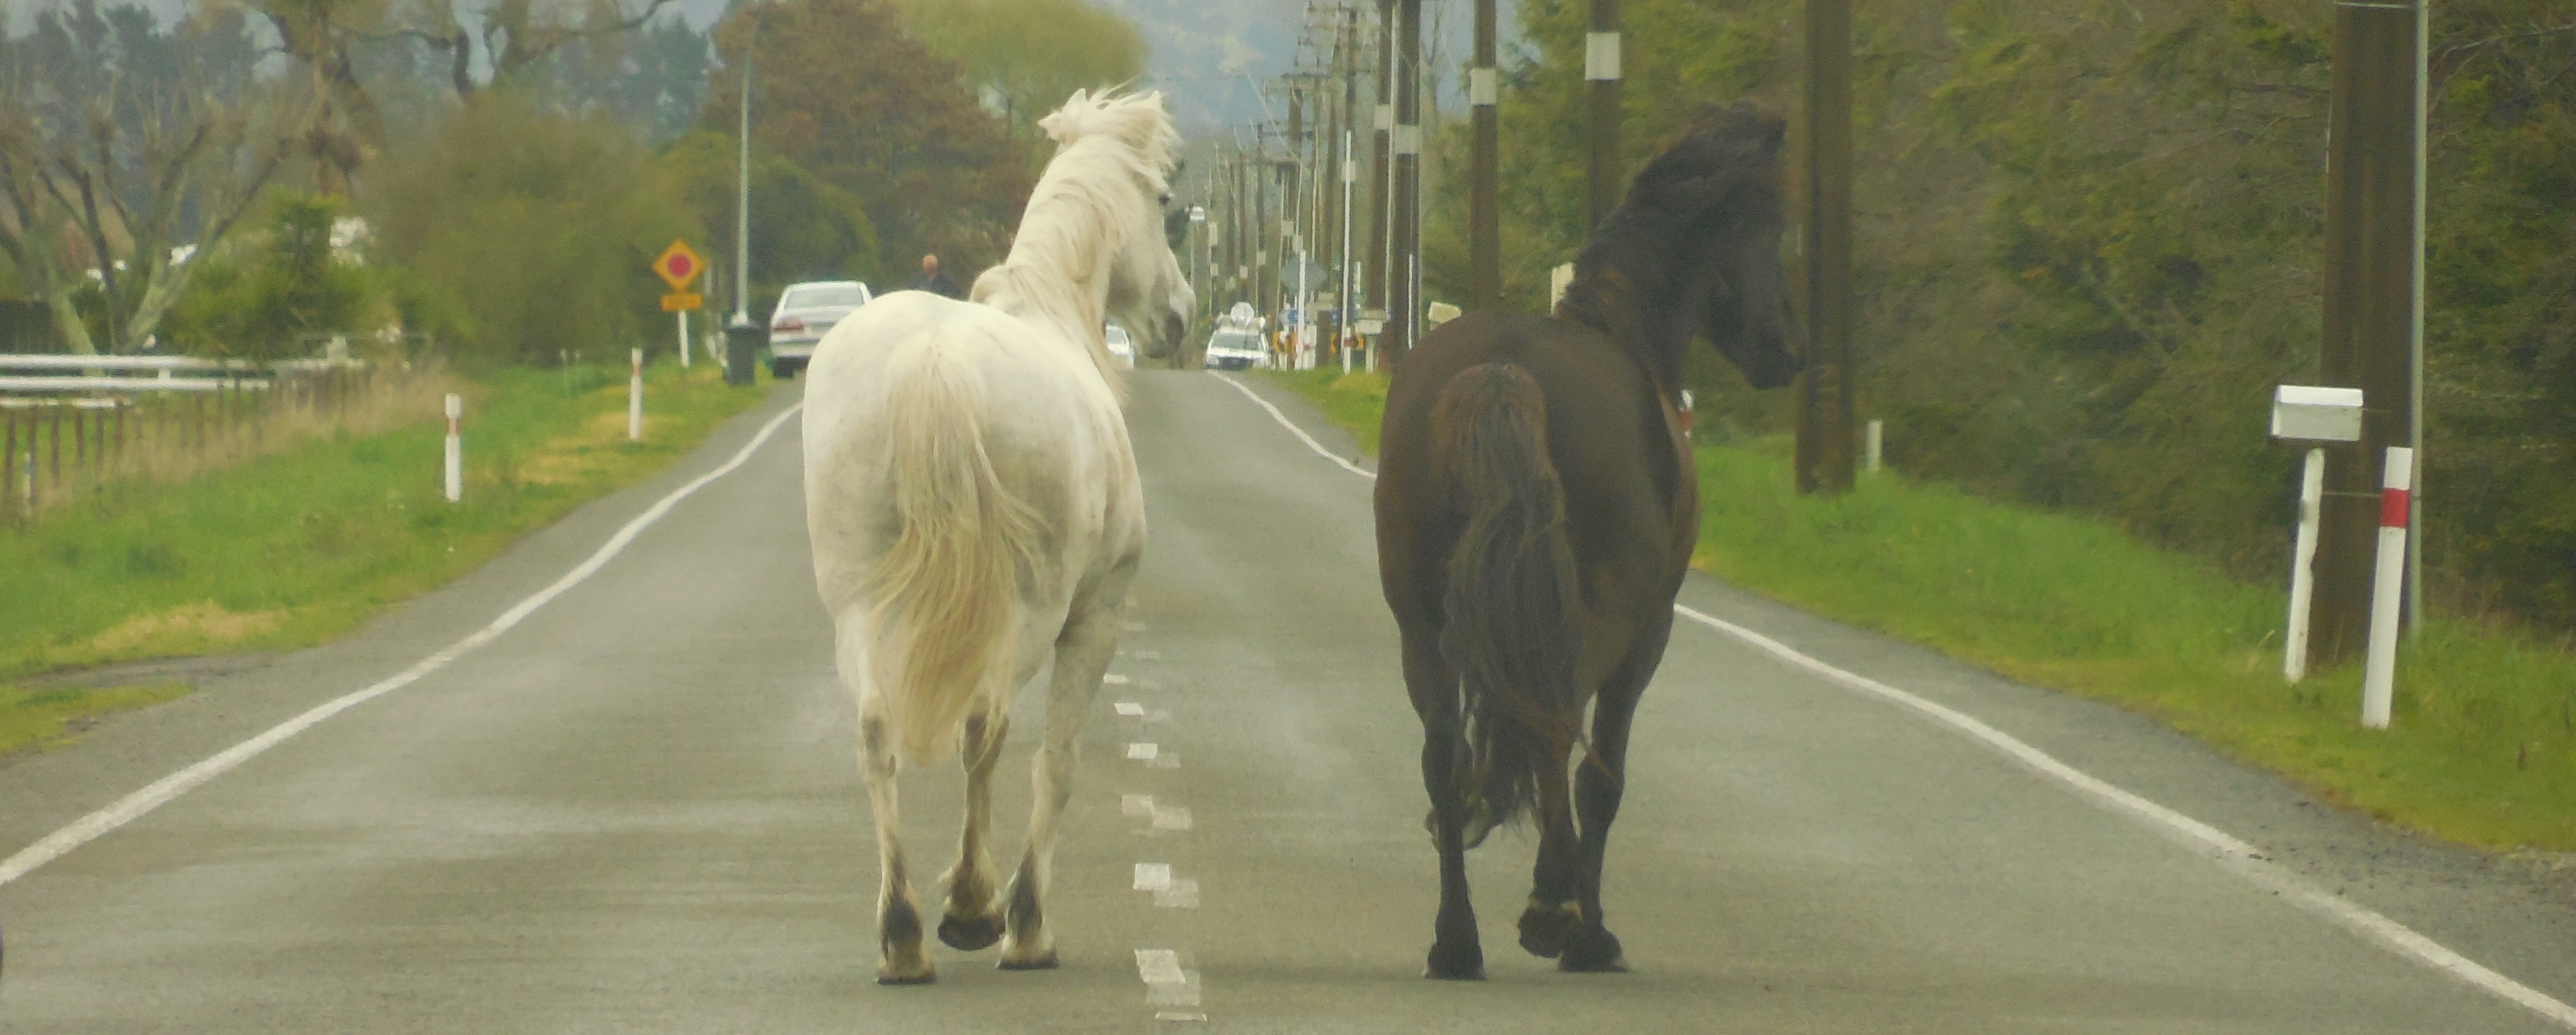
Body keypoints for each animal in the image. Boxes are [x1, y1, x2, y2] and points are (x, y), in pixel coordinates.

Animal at [801, 88, 1191, 985]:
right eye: (1165, 204)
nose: (1180, 319)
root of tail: (933, 360)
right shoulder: (1094, 618)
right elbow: (1058, 762)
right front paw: (1024, 922)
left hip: (857, 608)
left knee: (876, 734)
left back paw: (903, 936)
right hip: (1030, 611)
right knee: (986, 729)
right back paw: (975, 910)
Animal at [1371, 104, 1804, 981]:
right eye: (1774, 228)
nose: (1788, 350)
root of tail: (1503, 371)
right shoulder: (1647, 631)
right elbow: (1601, 774)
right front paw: (1585, 925)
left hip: (1421, 625)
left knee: (1445, 754)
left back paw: (1456, 938)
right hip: (1593, 616)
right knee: (1553, 729)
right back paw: (1556, 911)